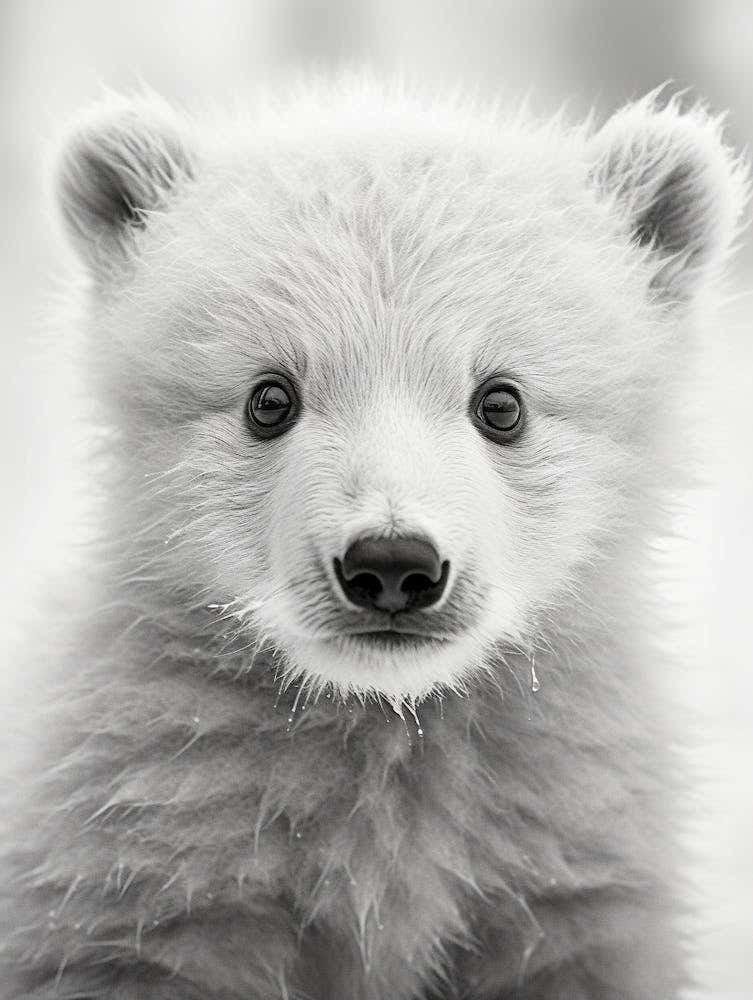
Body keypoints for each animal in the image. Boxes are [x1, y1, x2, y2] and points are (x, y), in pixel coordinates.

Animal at [0, 78, 747, 1000]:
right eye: (269, 397)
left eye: (501, 401)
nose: (391, 566)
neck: (387, 720)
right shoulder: (141, 879)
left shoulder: (564, 864)